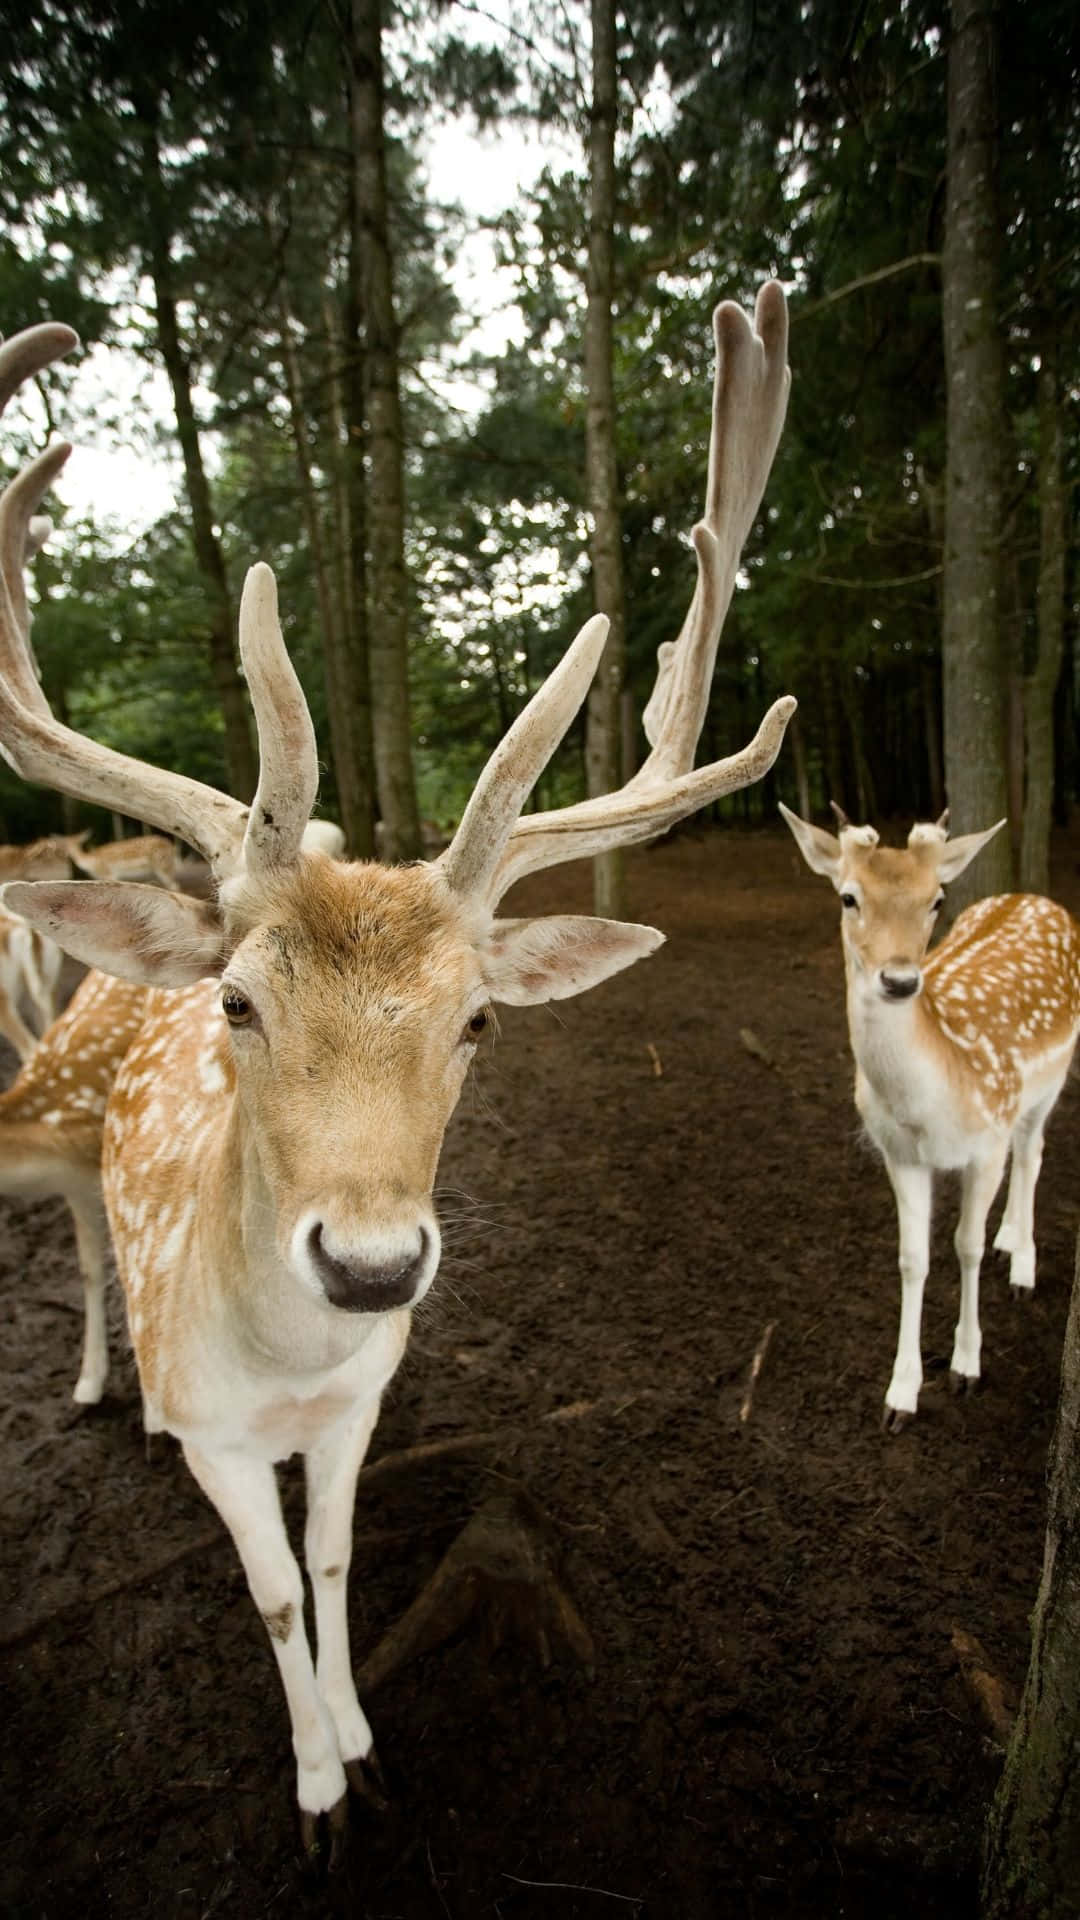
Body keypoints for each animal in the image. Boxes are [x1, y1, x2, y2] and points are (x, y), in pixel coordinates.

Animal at [0, 288, 794, 1859]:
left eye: (478, 1021)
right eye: (238, 999)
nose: (370, 1266)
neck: (283, 1379)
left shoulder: (357, 1407)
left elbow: (333, 1558)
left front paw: (366, 1746)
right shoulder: (222, 1442)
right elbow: (264, 1589)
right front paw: (315, 1792)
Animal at [781, 803, 1080, 1431]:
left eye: (936, 898)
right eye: (848, 896)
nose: (899, 980)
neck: (930, 1103)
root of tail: (1035, 897)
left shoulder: (985, 1143)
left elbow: (965, 1245)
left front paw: (967, 1366)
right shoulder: (899, 1154)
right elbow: (912, 1259)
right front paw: (900, 1394)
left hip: (1049, 1081)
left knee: (1033, 1151)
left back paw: (1023, 1266)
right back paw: (1009, 1239)